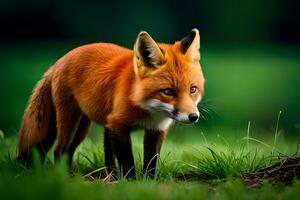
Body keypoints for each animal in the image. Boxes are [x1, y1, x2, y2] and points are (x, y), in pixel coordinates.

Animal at [18, 28, 204, 178]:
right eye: (168, 92)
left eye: (193, 89)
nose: (193, 116)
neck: (148, 109)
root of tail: (58, 61)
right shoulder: (118, 124)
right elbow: (127, 161)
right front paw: (131, 182)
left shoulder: (156, 130)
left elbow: (151, 163)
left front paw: (149, 182)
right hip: (71, 124)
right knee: (59, 150)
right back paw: (63, 177)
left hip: (83, 129)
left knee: (76, 152)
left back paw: (107, 176)